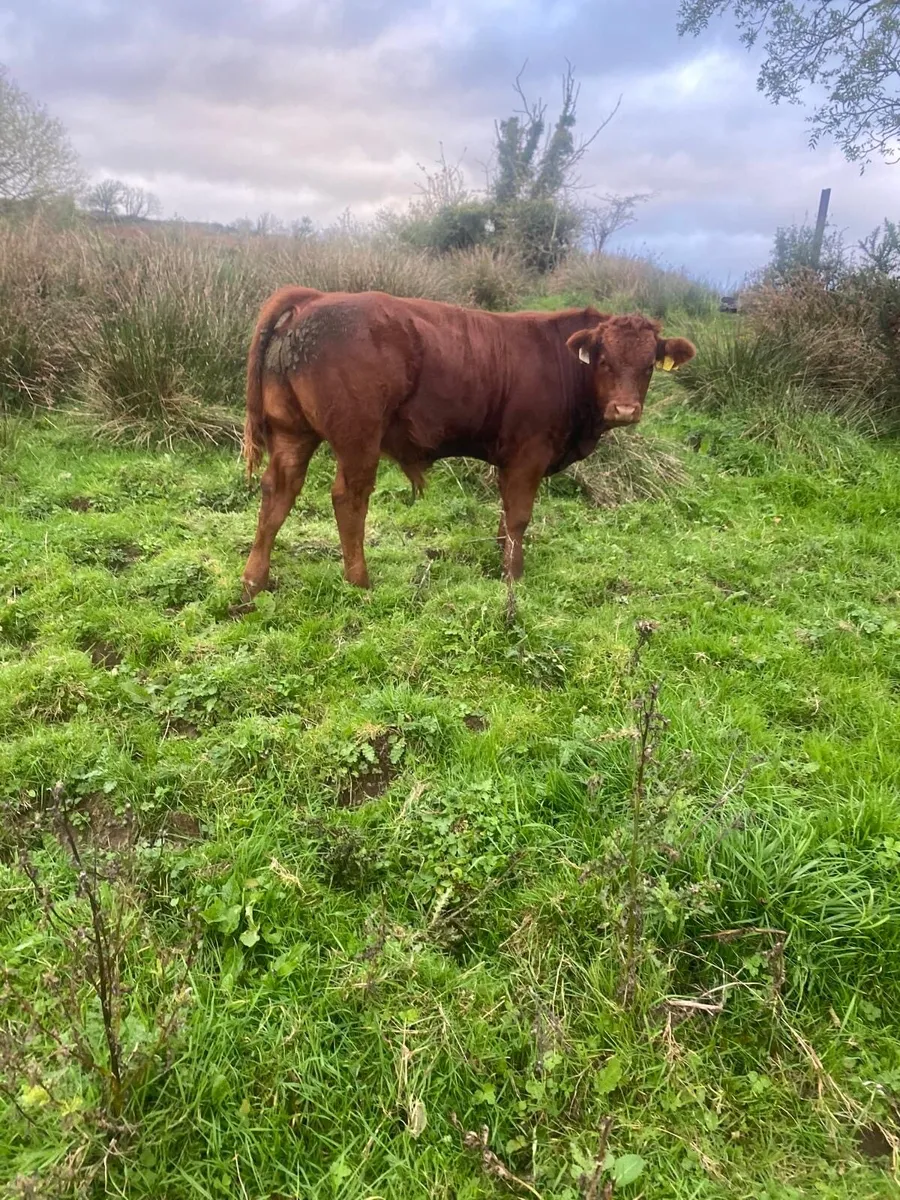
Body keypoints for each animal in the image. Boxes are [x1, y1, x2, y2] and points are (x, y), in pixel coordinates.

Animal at [240, 287, 695, 597]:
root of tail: (315, 299)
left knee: (278, 492)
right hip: (358, 438)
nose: (625, 409)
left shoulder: (509, 459)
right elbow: (519, 516)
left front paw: (502, 558)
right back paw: (359, 580)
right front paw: (514, 576)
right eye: (604, 360)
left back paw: (253, 581)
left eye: (648, 366)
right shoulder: (529, 454)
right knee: (348, 499)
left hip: (292, 433)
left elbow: (505, 515)